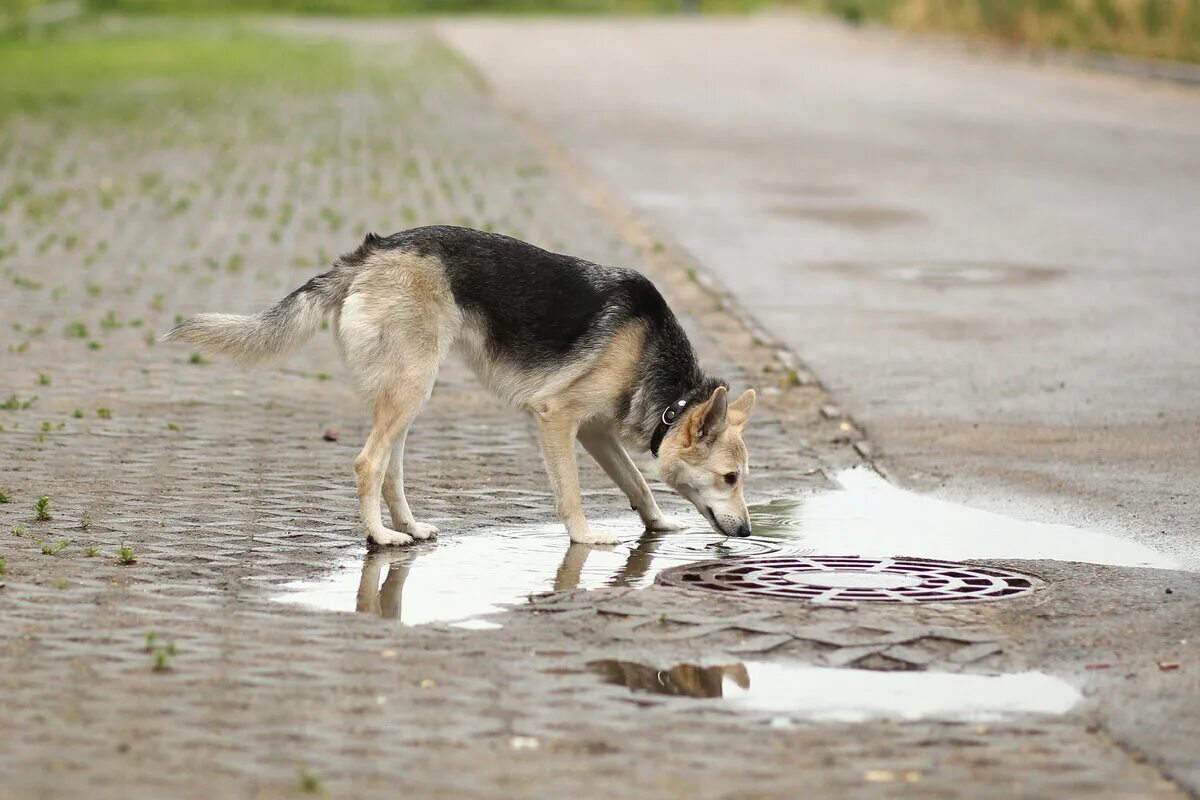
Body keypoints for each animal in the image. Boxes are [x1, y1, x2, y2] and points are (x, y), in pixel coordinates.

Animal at [164, 227, 753, 546]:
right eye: (729, 478)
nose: (749, 533)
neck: (670, 389)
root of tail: (373, 250)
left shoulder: (595, 434)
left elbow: (638, 484)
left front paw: (659, 524)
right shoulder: (557, 418)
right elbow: (571, 493)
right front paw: (584, 537)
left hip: (408, 393)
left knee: (390, 469)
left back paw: (408, 527)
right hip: (410, 387)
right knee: (367, 463)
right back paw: (379, 536)